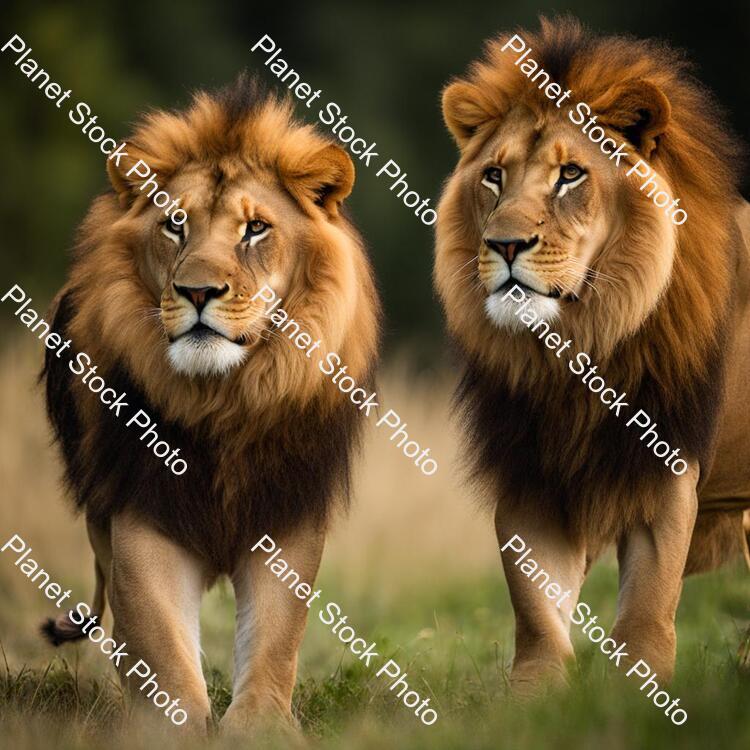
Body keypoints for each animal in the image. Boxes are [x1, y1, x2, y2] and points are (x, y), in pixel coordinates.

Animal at [40, 74, 380, 733]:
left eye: (256, 229)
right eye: (175, 224)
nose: (198, 291)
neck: (224, 402)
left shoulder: (288, 511)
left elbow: (276, 635)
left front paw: (263, 729)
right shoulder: (140, 510)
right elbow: (160, 641)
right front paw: (167, 726)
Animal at [434, 17, 750, 691]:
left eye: (571, 176)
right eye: (494, 176)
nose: (504, 245)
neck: (577, 347)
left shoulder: (665, 466)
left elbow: (647, 607)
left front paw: (642, 693)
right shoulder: (530, 474)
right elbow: (536, 607)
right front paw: (536, 693)